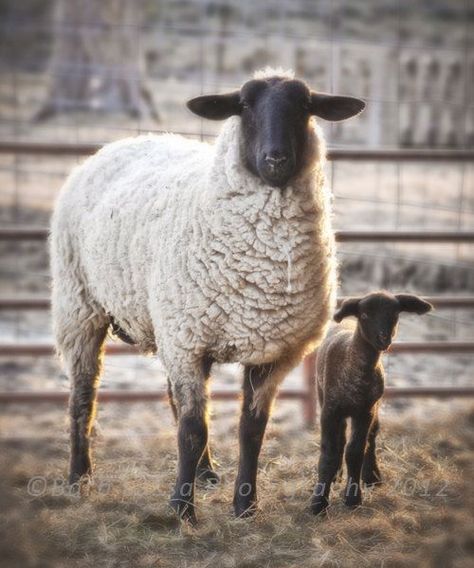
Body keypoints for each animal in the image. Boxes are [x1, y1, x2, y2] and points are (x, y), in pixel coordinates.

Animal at [50, 69, 364, 520]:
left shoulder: (270, 353)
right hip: (81, 304)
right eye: (245, 105)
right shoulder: (187, 343)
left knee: (173, 397)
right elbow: (192, 430)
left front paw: (245, 504)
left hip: (168, 321)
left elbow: (251, 431)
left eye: (305, 107)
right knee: (83, 395)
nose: (276, 159)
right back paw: (80, 477)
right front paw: (182, 509)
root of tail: (122, 142)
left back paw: (207, 472)